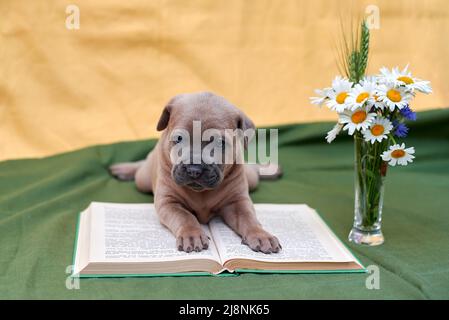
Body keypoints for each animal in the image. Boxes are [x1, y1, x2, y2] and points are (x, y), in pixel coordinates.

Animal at [109, 91, 280, 254]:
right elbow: (186, 217)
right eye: (179, 138)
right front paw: (191, 235)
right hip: (142, 180)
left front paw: (261, 234)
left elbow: (249, 219)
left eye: (220, 143)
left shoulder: (237, 202)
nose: (194, 170)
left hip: (251, 180)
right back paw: (125, 169)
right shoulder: (168, 202)